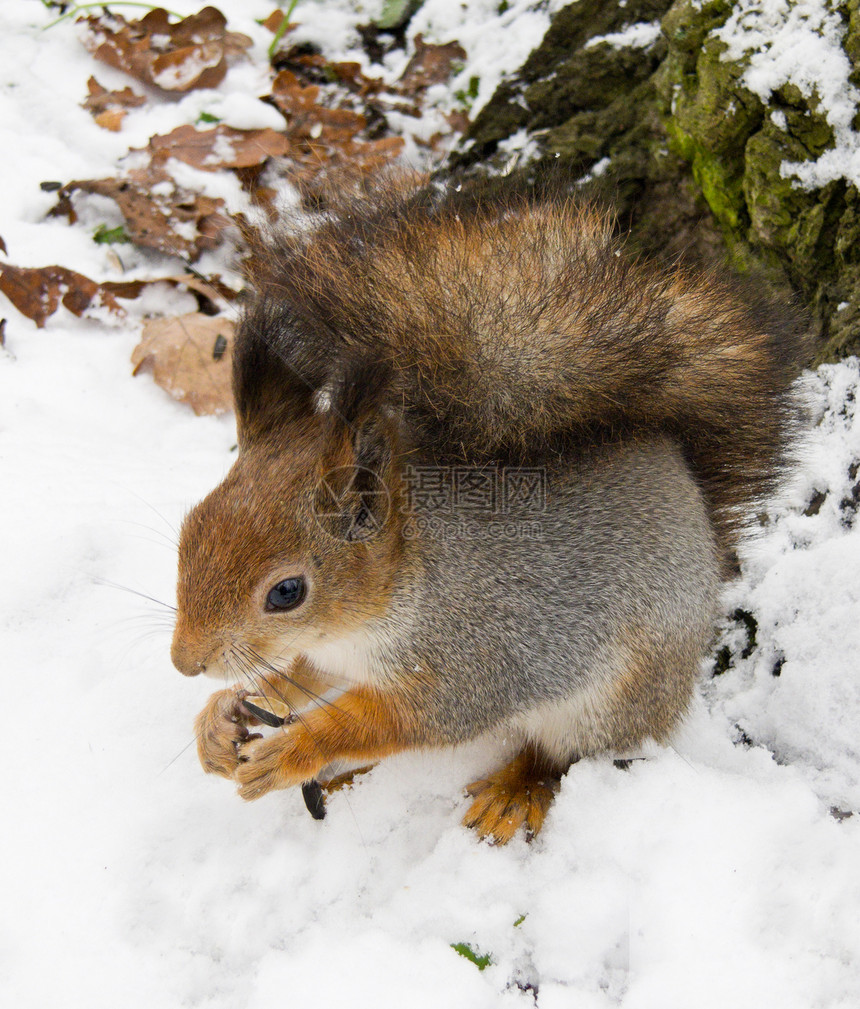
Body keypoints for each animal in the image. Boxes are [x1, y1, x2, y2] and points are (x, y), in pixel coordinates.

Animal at [171, 179, 811, 843]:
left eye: (287, 592)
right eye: (188, 533)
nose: (186, 663)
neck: (384, 603)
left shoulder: (473, 655)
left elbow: (409, 719)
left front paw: (298, 747)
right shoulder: (333, 653)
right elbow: (299, 675)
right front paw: (223, 716)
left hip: (613, 696)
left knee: (563, 756)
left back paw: (513, 792)